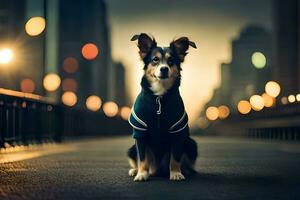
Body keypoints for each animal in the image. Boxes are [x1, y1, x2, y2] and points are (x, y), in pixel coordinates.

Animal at [127, 33, 198, 181]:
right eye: (155, 59)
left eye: (171, 61)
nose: (164, 68)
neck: (159, 95)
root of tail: (157, 170)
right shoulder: (140, 132)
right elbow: (142, 157)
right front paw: (141, 174)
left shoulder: (177, 132)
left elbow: (175, 157)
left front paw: (176, 173)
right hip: (131, 149)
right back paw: (135, 170)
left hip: (191, 144)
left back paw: (186, 170)